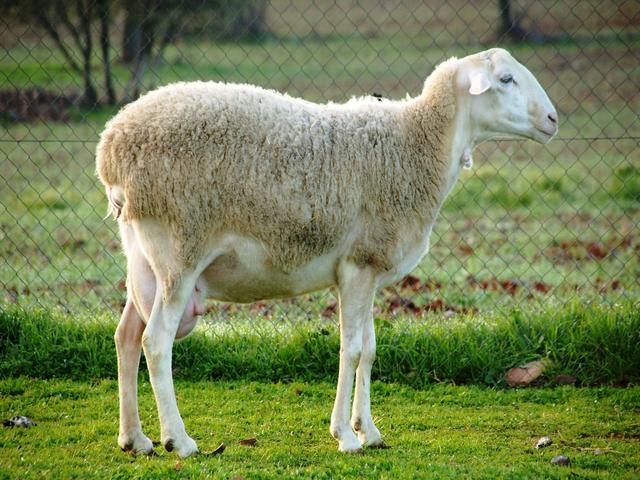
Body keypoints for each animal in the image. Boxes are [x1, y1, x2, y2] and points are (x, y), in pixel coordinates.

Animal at [96, 48, 558, 458]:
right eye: (506, 79)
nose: (553, 119)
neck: (417, 145)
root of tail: (110, 148)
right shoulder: (357, 265)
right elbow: (349, 350)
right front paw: (345, 436)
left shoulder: (368, 270)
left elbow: (368, 348)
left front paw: (369, 430)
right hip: (179, 251)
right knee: (157, 342)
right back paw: (180, 441)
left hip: (144, 258)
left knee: (126, 337)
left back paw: (134, 439)